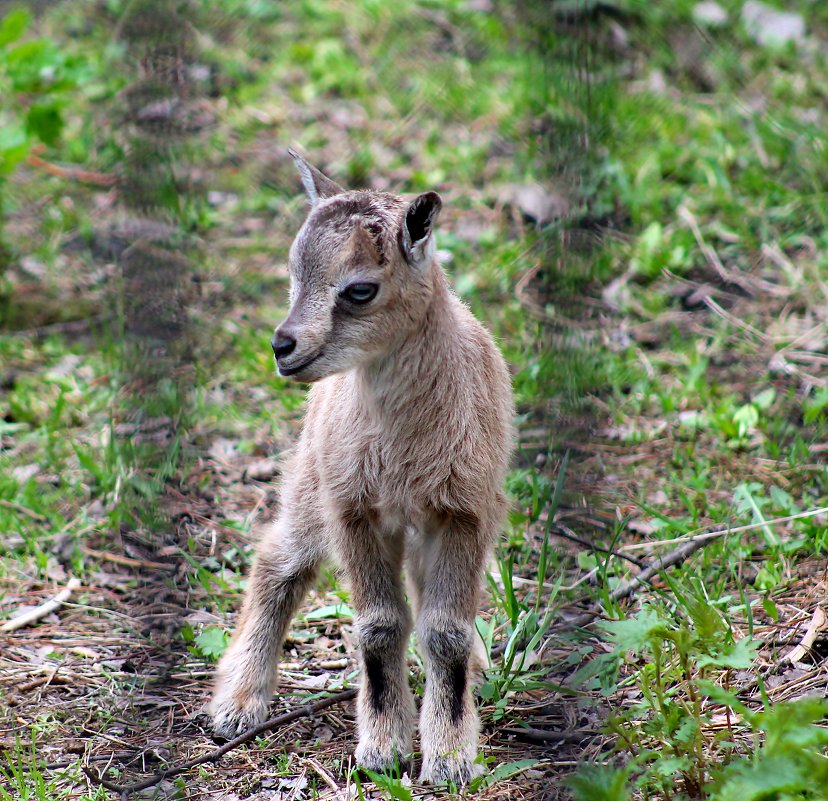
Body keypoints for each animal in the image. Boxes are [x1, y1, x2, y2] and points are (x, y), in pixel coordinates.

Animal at [210, 148, 516, 780]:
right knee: (278, 562)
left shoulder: (466, 509)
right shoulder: (352, 508)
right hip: (311, 484)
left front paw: (450, 756)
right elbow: (378, 625)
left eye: (359, 289)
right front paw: (383, 749)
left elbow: (444, 631)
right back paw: (239, 703)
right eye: (294, 272)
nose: (283, 346)